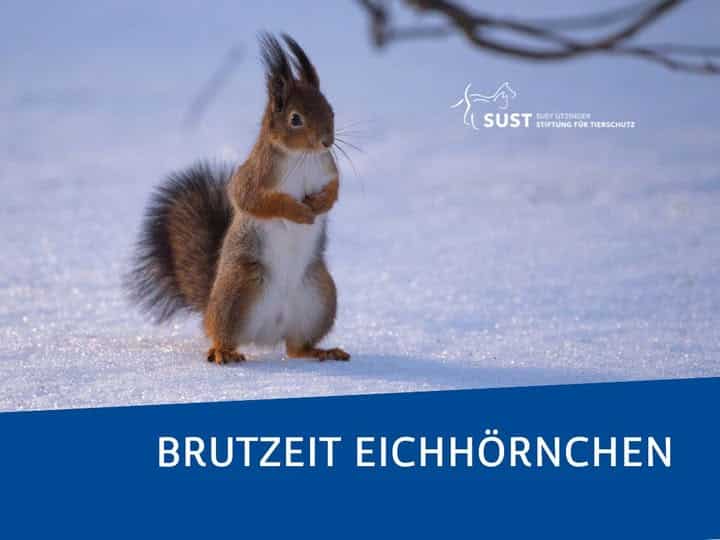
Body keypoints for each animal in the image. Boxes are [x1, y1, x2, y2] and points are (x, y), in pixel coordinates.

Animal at [126, 33, 350, 364]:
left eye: (330, 110)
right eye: (295, 119)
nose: (327, 141)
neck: (302, 157)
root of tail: (268, 334)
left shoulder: (328, 170)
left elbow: (334, 191)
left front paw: (318, 204)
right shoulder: (253, 177)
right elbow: (254, 200)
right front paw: (299, 211)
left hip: (320, 296)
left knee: (296, 348)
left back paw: (321, 351)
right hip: (238, 290)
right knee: (222, 334)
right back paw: (223, 352)